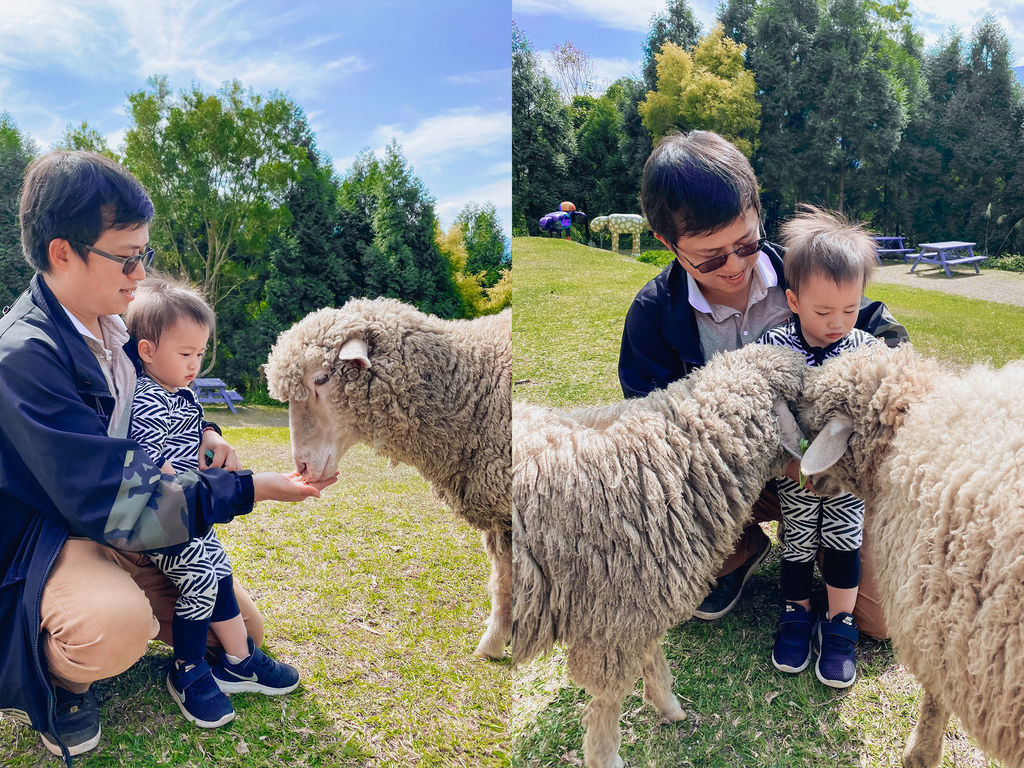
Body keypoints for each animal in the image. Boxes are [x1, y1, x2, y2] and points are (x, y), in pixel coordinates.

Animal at [512, 344, 806, 768]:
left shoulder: (640, 602)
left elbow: (651, 656)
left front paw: (667, 705)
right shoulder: (611, 620)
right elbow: (607, 702)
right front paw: (605, 756)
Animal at [798, 344, 1024, 768]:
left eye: (811, 426)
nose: (809, 481)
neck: (913, 421)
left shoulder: (936, 617)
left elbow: (935, 698)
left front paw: (920, 754)